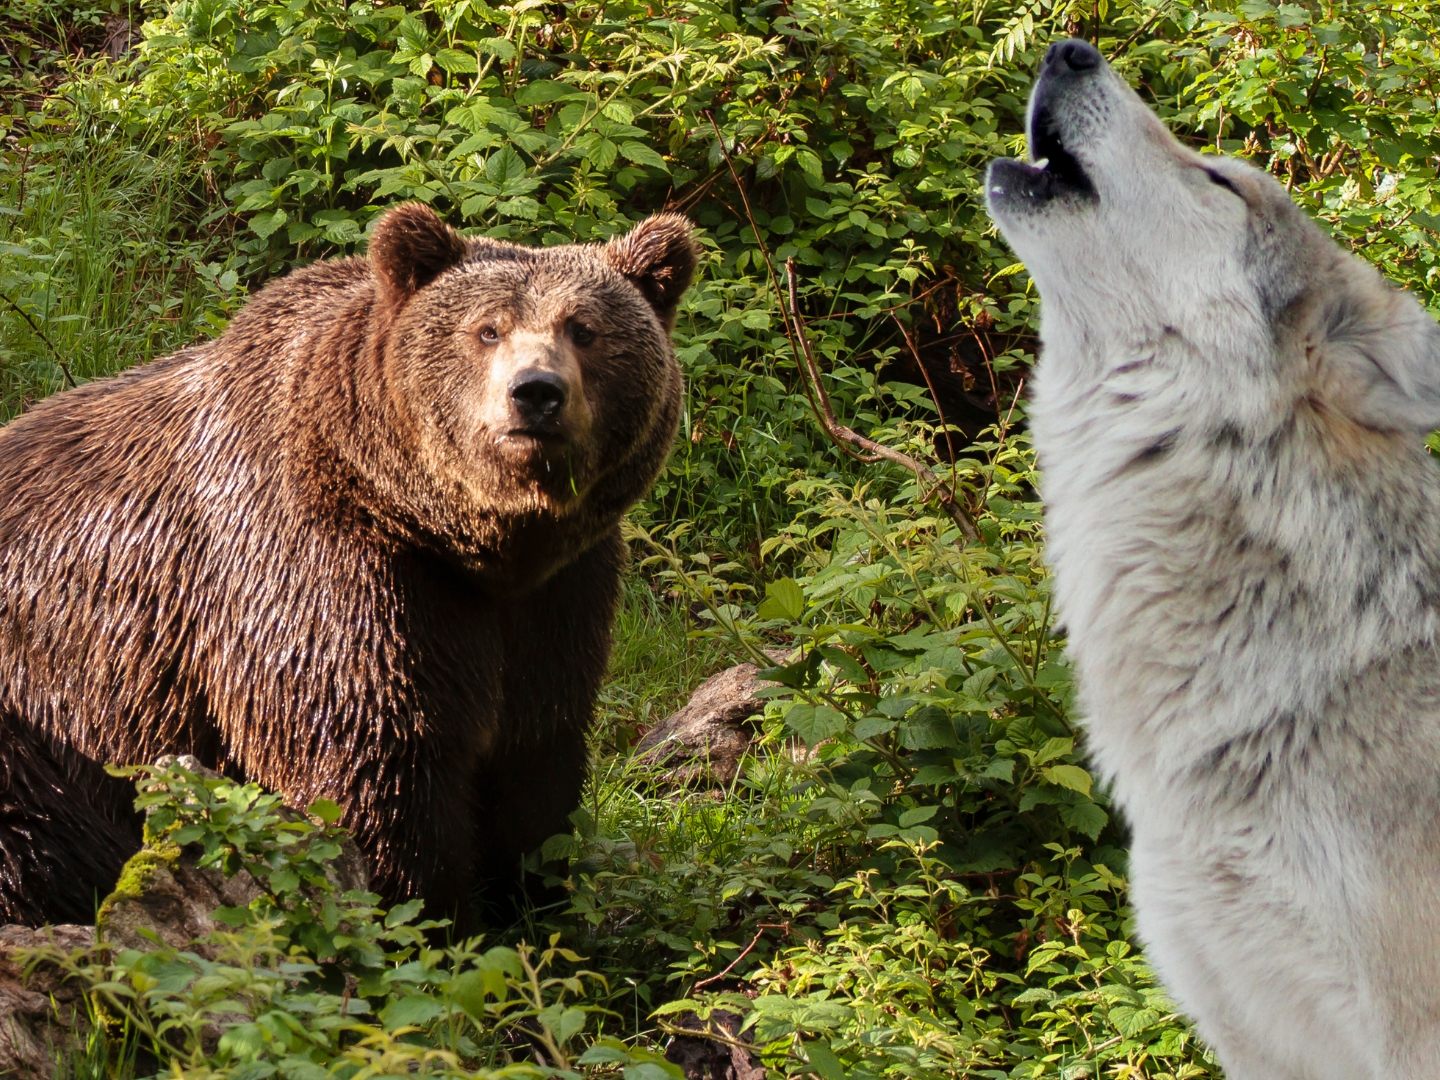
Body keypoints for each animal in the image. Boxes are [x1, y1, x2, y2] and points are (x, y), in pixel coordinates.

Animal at [0, 204, 696, 933]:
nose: (536, 394)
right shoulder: (331, 575)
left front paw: (532, 908)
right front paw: (425, 915)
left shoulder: (558, 596)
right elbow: (372, 767)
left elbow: (535, 760)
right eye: (487, 329)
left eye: (584, 329)